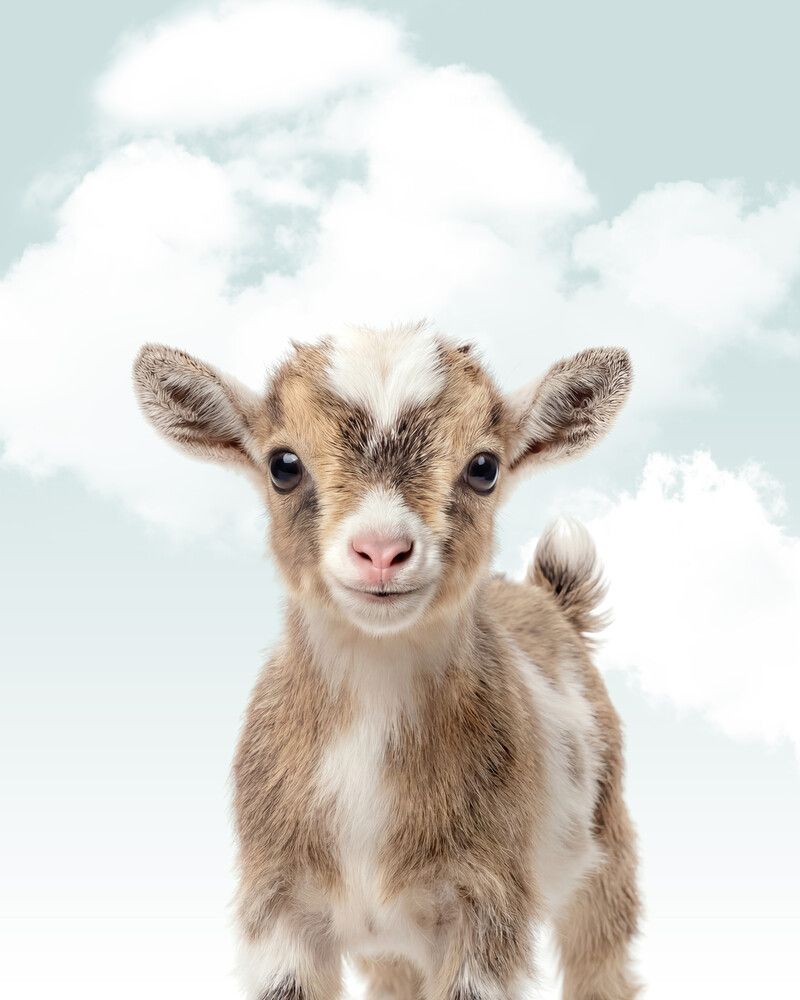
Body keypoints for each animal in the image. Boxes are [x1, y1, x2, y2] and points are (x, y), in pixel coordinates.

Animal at [133, 323, 640, 1000]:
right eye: (283, 465)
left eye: (484, 467)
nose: (380, 551)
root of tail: (549, 599)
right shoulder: (278, 904)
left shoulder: (485, 903)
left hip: (606, 849)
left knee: (601, 957)